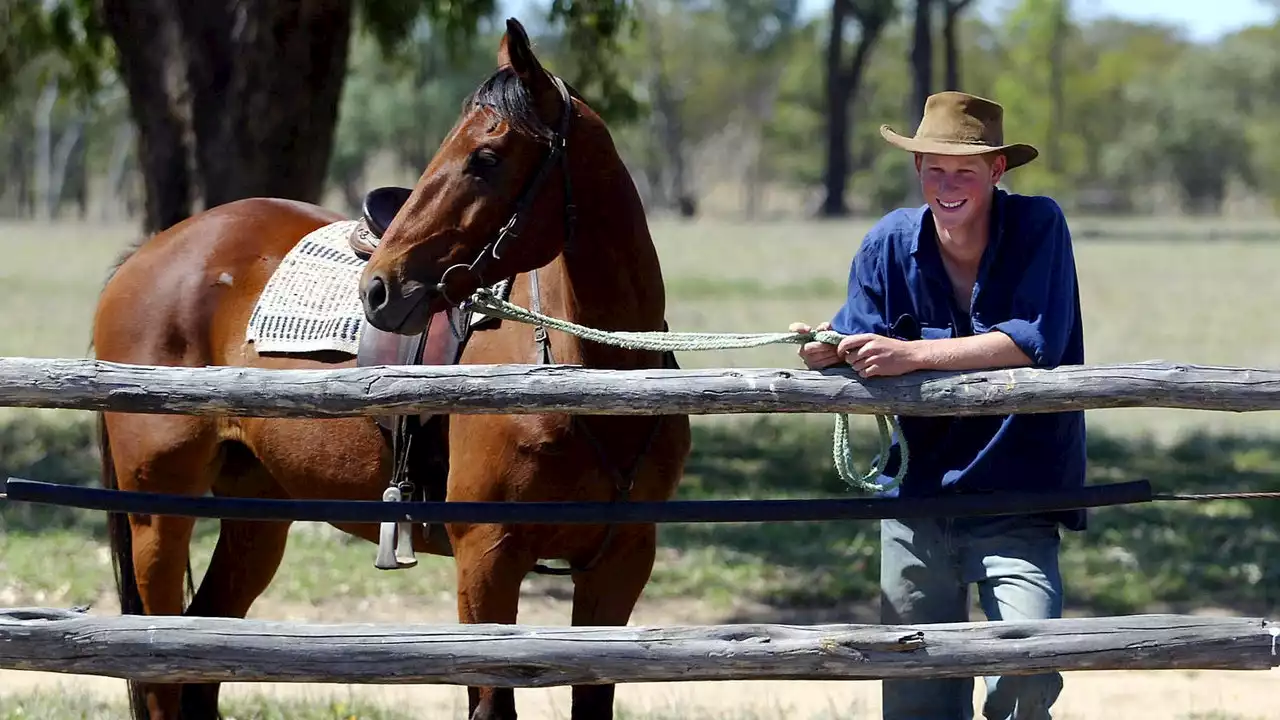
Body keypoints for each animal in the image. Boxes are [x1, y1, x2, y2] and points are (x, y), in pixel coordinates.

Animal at [92, 18, 691, 717]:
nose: (378, 287)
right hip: (158, 517)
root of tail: (147, 254)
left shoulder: (619, 567)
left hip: (256, 513)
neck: (591, 377)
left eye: (486, 159)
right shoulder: (487, 558)